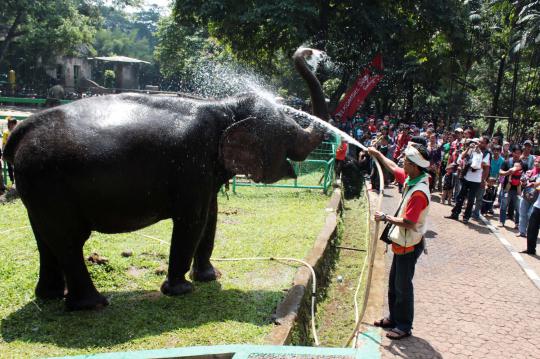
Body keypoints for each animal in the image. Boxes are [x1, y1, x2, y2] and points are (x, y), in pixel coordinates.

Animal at [4, 47, 332, 312]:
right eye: (289, 132)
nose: (311, 52)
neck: (225, 106)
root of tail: (22, 129)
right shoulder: (191, 164)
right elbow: (193, 220)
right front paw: (181, 290)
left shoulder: (205, 172)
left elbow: (211, 218)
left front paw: (209, 277)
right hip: (51, 184)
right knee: (69, 240)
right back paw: (93, 304)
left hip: (37, 188)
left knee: (46, 238)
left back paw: (49, 296)